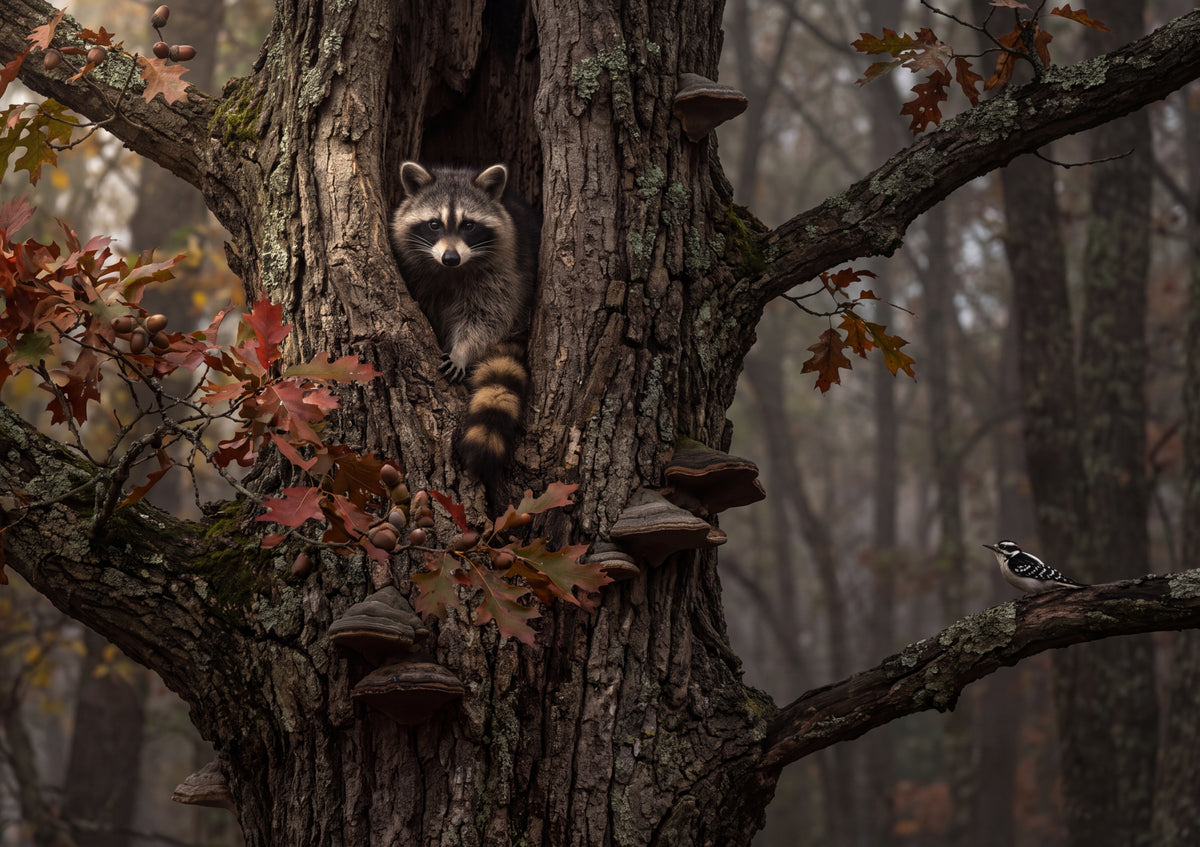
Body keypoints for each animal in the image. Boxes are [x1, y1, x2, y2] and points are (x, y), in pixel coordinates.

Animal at [390, 161, 540, 487]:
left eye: (468, 225)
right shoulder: (420, 274)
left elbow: (488, 317)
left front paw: (462, 350)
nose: (450, 257)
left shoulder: (505, 270)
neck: (451, 271)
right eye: (434, 224)